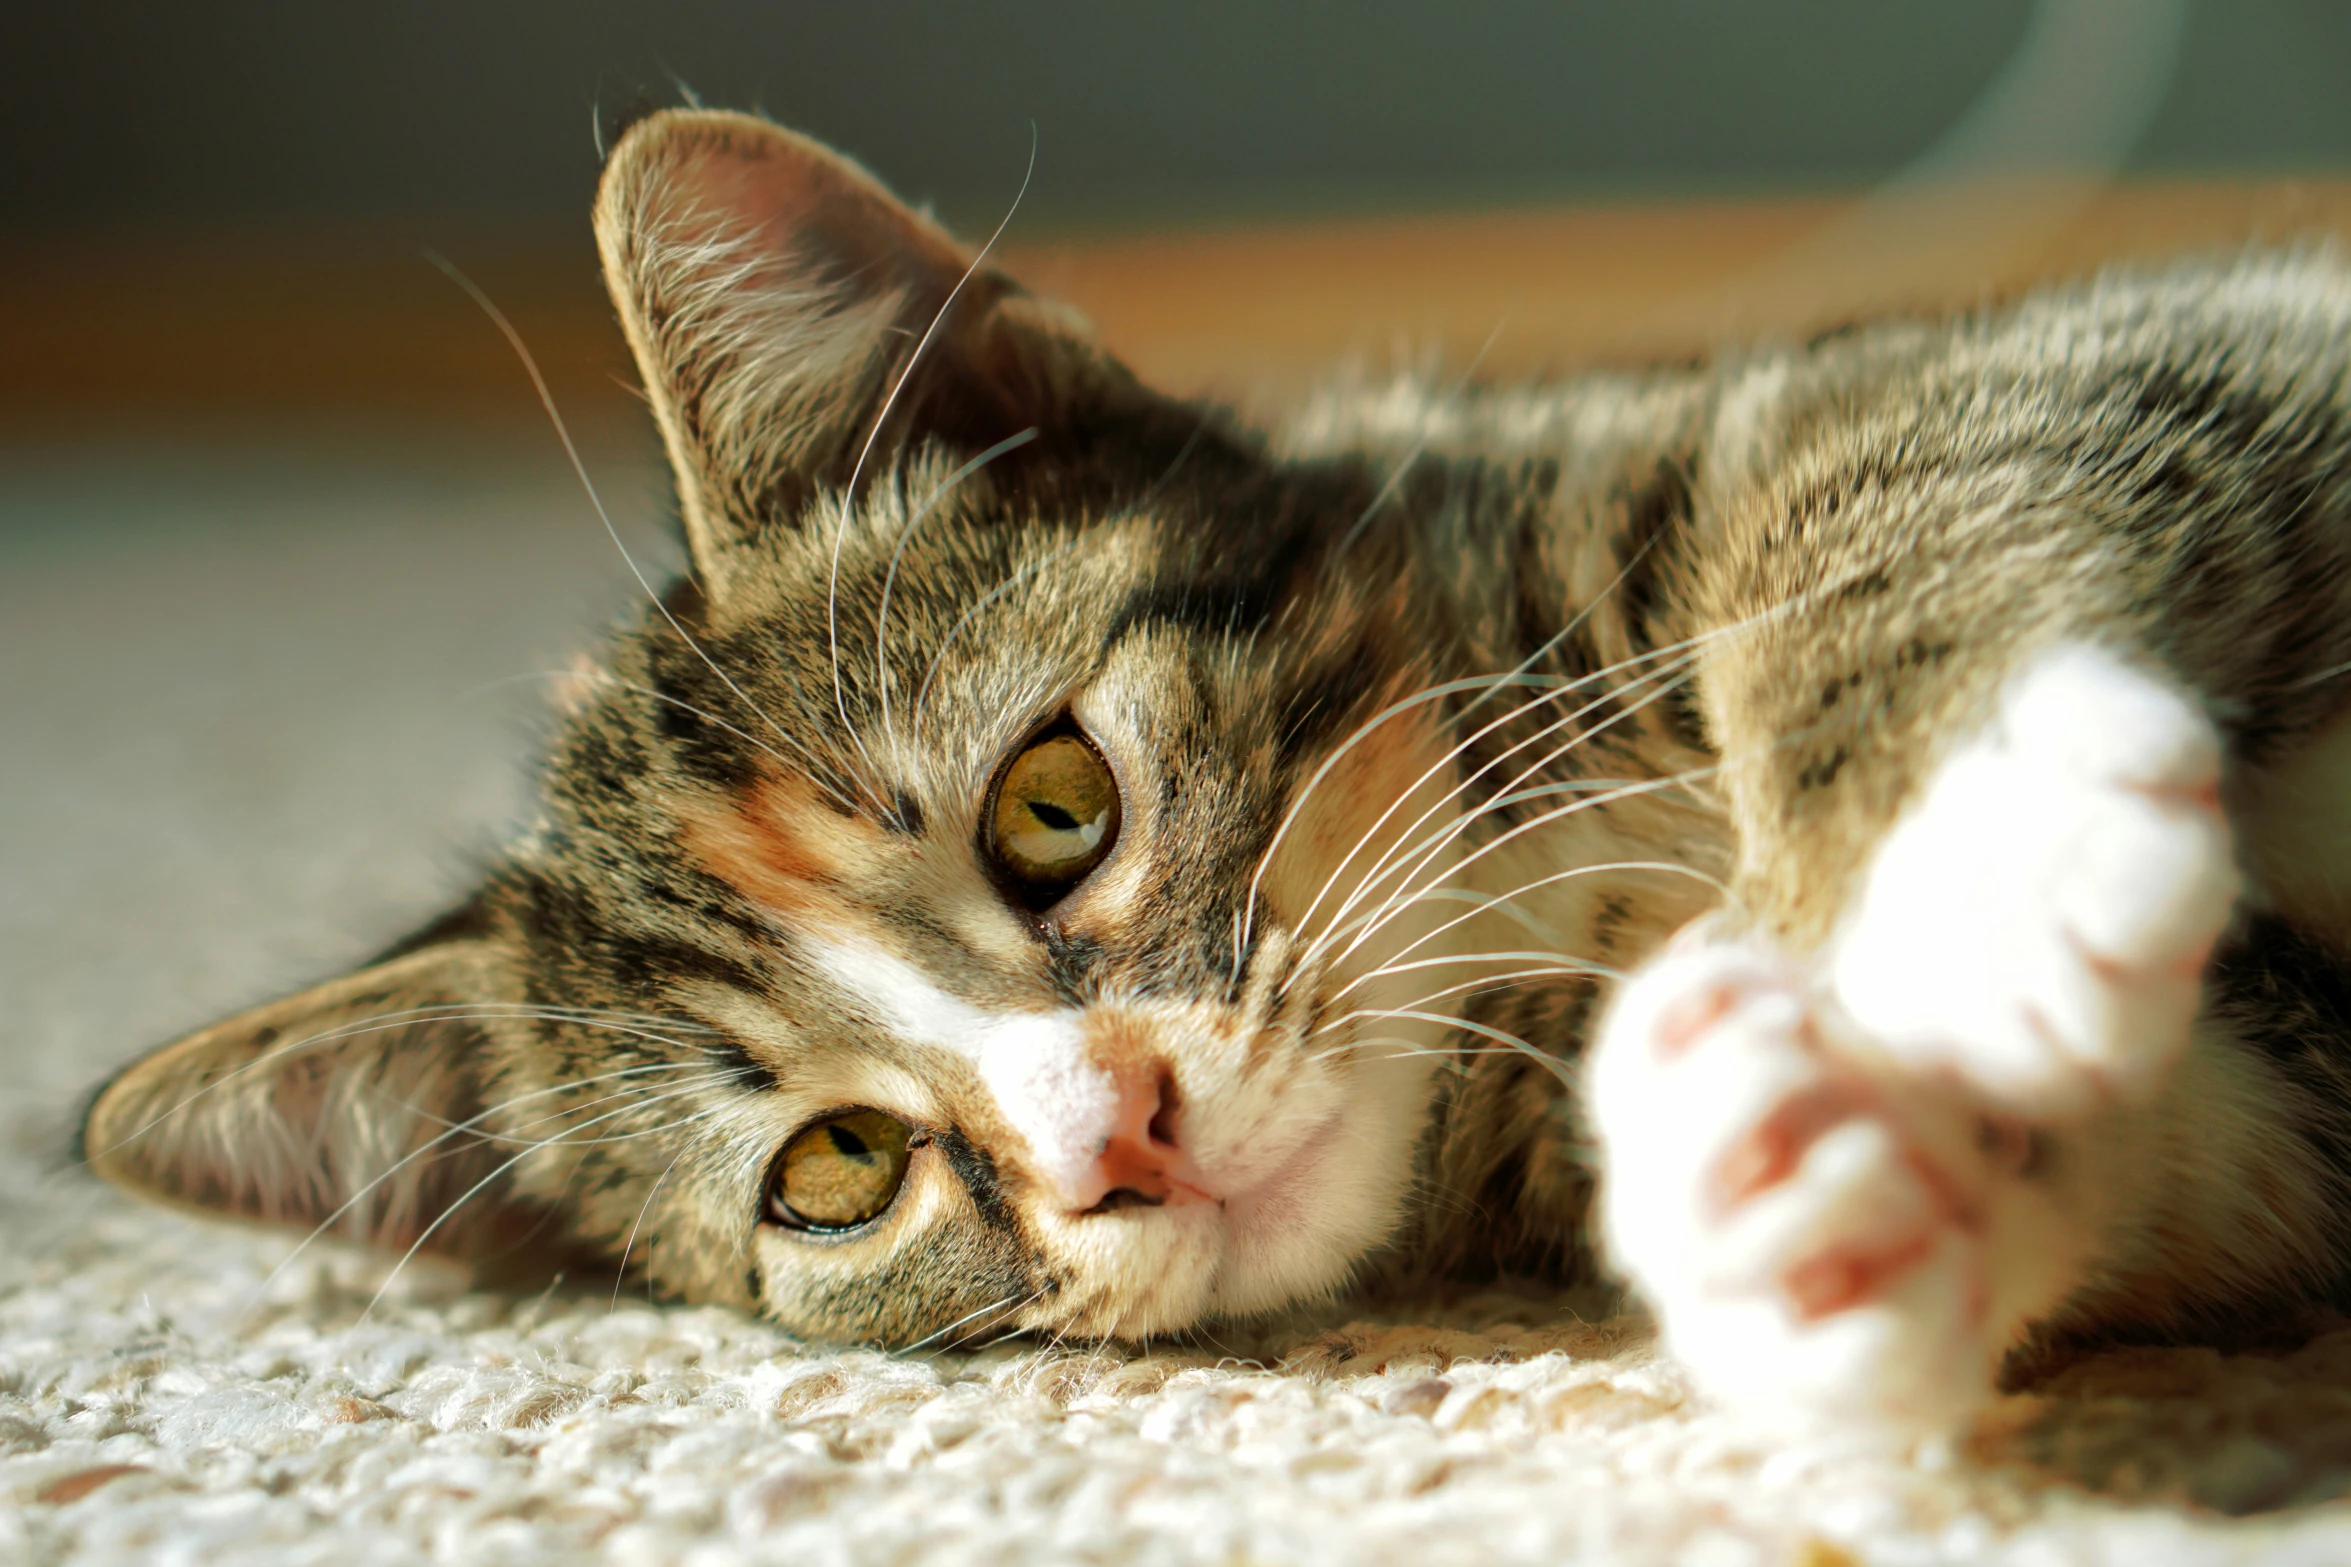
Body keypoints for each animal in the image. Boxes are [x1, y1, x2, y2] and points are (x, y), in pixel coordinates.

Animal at [78, 103, 2351, 1437]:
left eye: (1051, 808)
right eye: (836, 1167)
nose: (1122, 1139)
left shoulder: (2173, 344)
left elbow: (1916, 468)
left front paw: (1962, 876)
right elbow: (2214, 1149)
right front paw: (1800, 1168)